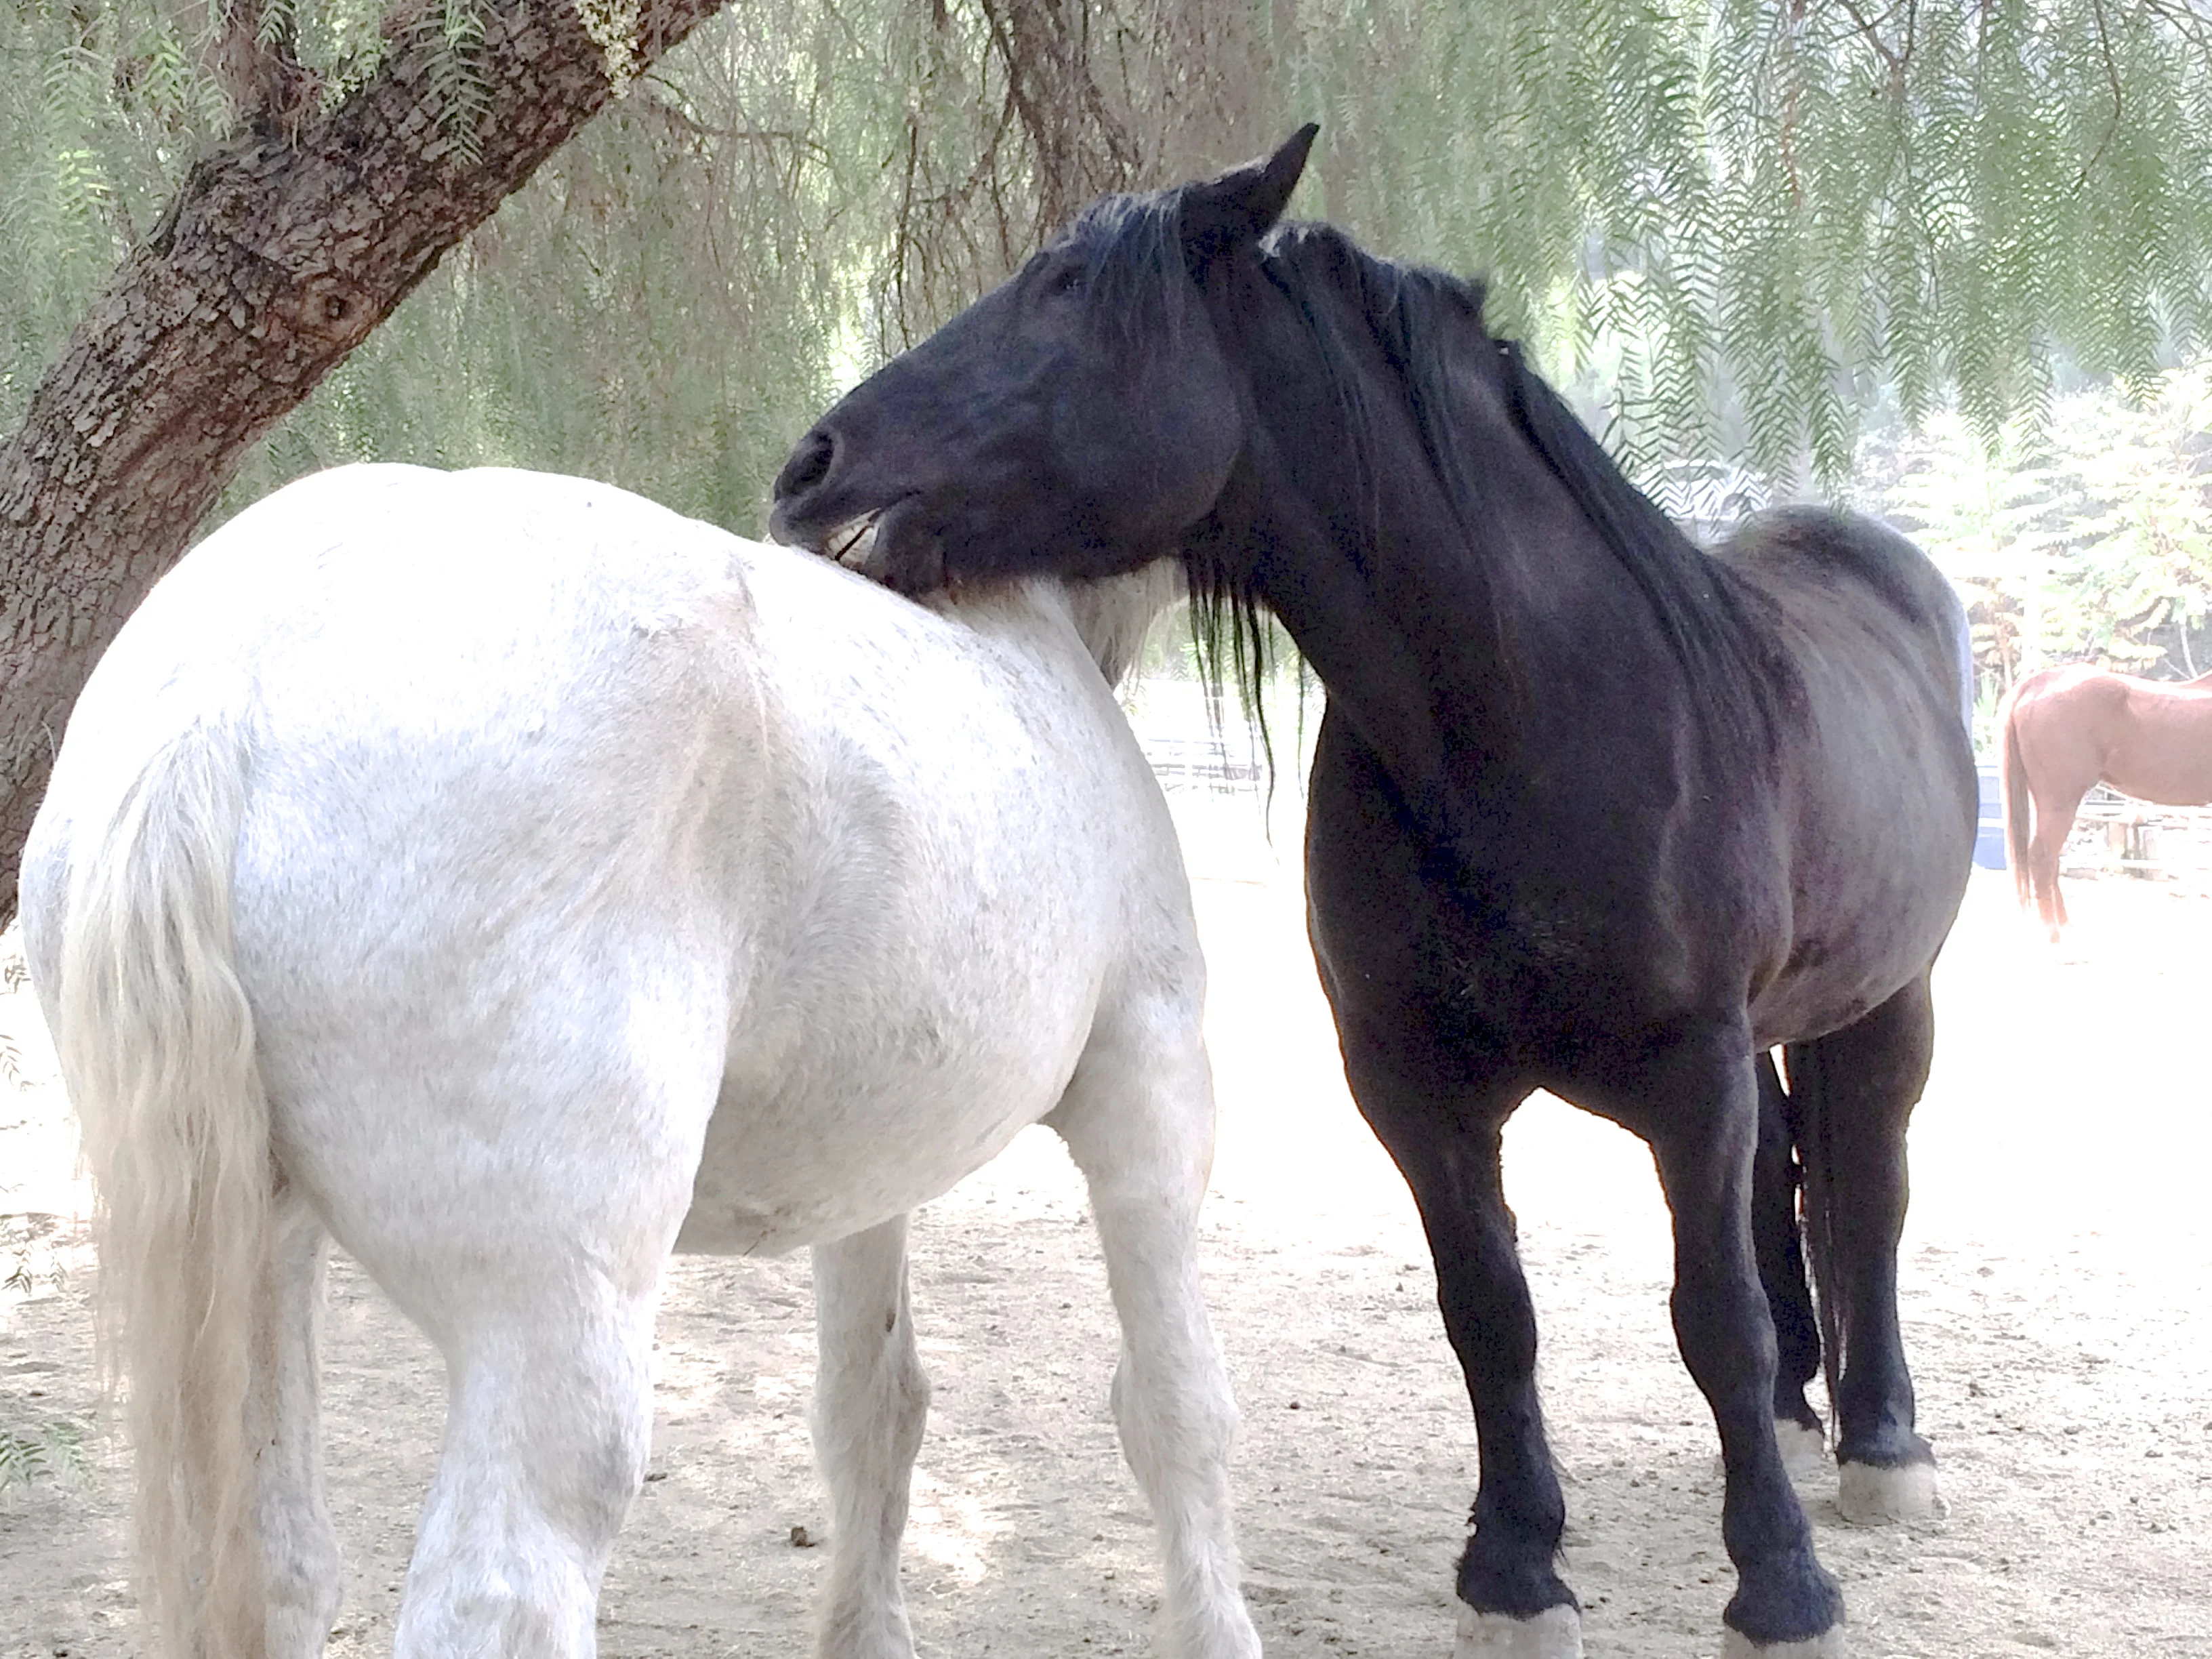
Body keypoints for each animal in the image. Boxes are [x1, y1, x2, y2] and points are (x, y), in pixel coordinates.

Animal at [20, 463, 1261, 1659]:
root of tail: (221, 691)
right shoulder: (1148, 1088)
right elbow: (1175, 1411)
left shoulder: (866, 1179)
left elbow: (871, 1411)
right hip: (545, 1327)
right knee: (502, 1591)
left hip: (257, 1256)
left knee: (279, 1570)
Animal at [767, 130, 1977, 1659]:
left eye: (1066, 289)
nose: (810, 466)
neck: (1519, 719)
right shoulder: (1412, 1086)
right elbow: (1491, 1314)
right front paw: (1515, 1568)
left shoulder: (1689, 1069)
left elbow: (1714, 1311)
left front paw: (1778, 1581)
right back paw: (1787, 1418)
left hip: (1889, 1003)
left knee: (1866, 1191)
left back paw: (1882, 1447)